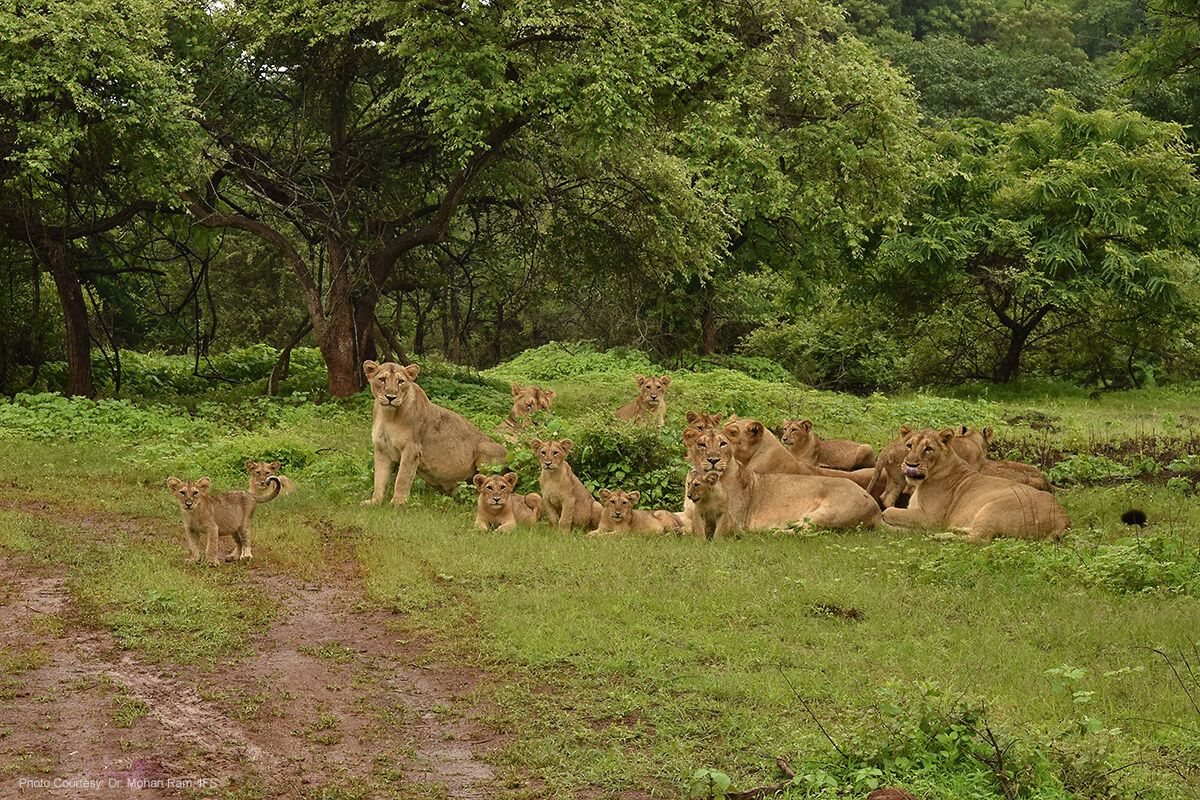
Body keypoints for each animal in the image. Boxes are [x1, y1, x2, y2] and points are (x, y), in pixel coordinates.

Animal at [357, 362, 504, 506]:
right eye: (382, 379)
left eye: (400, 381)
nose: (391, 397)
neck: (388, 415)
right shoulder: (382, 449)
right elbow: (379, 479)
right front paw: (374, 502)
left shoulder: (412, 448)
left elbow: (402, 478)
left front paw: (397, 503)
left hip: (485, 450)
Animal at [883, 429, 1070, 542]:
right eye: (909, 446)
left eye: (928, 449)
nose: (910, 465)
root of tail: (1063, 519)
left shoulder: (930, 517)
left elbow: (888, 511)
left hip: (993, 509)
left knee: (980, 539)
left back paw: (938, 536)